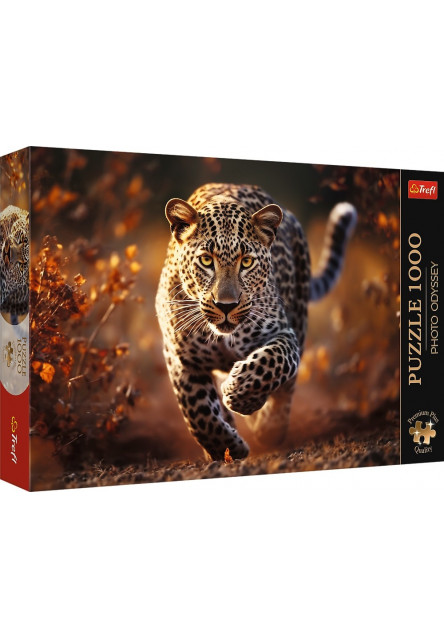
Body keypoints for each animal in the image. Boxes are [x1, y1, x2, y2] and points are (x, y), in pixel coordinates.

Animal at [155, 183, 357, 461]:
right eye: (206, 260)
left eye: (247, 262)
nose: (226, 305)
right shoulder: (180, 357)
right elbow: (198, 412)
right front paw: (226, 448)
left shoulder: (283, 333)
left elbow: (273, 362)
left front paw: (240, 393)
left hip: (300, 317)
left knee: (286, 389)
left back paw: (269, 427)